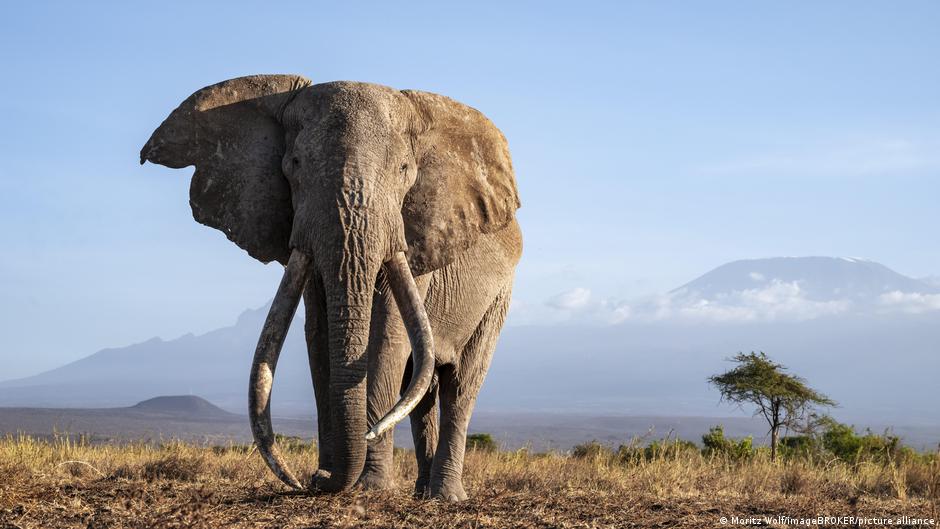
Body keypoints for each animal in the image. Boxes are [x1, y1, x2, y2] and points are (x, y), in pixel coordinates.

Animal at [140, 74, 522, 501]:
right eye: (293, 165)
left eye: (404, 170)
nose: (311, 478)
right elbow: (318, 334)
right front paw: (332, 478)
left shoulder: (416, 237)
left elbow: (387, 340)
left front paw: (369, 487)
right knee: (423, 390)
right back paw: (422, 493)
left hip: (499, 295)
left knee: (460, 385)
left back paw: (445, 497)